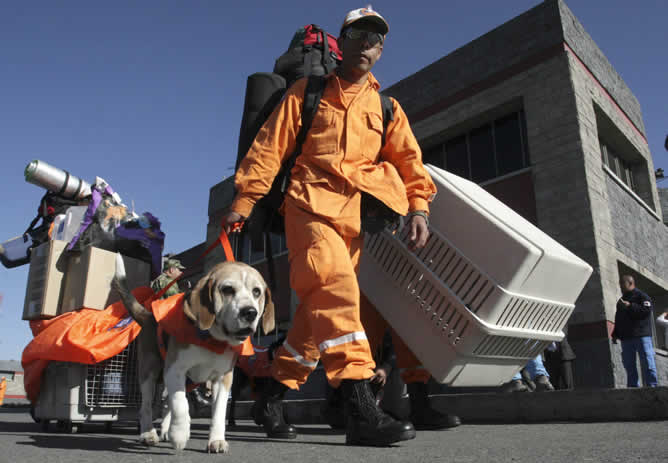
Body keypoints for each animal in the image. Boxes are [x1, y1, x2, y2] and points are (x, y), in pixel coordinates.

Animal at [112, 254, 274, 454]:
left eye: (257, 292)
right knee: (147, 406)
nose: (250, 312)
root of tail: (149, 316)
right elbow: (181, 404)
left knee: (166, 403)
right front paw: (179, 434)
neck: (212, 340)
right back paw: (148, 433)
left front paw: (216, 440)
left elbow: (218, 412)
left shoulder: (223, 379)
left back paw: (165, 430)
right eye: (227, 290)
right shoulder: (175, 370)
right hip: (149, 372)